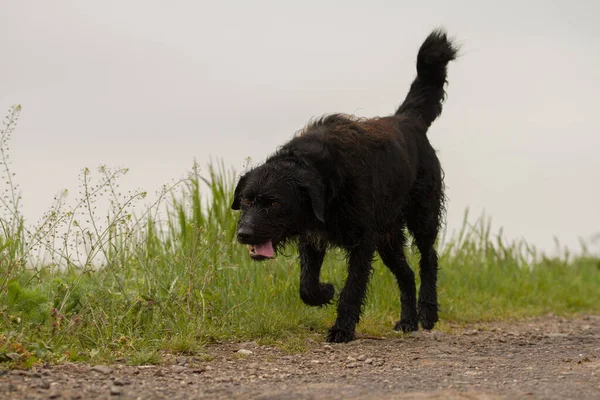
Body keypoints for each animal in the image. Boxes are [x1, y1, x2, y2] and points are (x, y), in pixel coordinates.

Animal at [232, 28, 458, 344]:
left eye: (274, 203)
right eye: (246, 200)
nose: (244, 234)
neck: (324, 177)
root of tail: (407, 120)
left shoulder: (363, 242)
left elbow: (352, 288)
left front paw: (342, 329)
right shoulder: (312, 239)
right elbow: (307, 287)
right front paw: (325, 292)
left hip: (422, 217)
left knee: (428, 260)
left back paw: (427, 312)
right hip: (388, 238)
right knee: (406, 274)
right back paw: (407, 320)